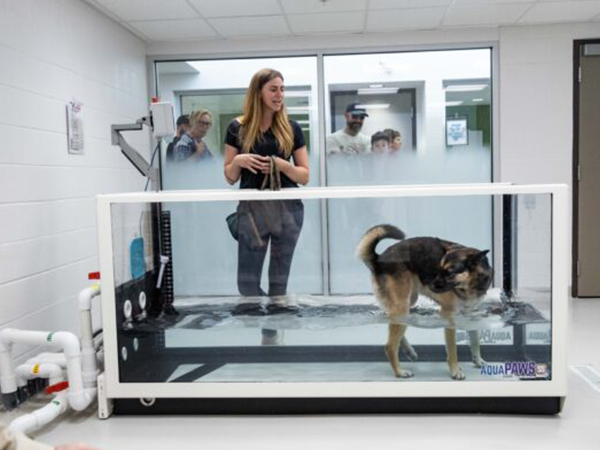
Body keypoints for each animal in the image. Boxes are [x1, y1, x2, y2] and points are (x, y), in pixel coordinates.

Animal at [357, 224, 493, 380]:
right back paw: (400, 372)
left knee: (392, 323)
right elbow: (452, 350)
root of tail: (379, 259)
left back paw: (409, 351)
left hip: (407, 301)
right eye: (438, 269)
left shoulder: (469, 314)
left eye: (450, 273)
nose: (431, 285)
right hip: (402, 306)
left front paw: (479, 361)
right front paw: (455, 371)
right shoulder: (448, 316)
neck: (470, 284)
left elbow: (475, 341)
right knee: (390, 346)